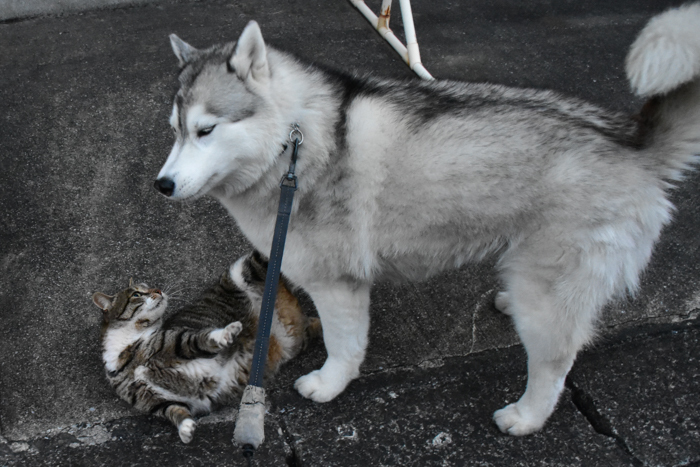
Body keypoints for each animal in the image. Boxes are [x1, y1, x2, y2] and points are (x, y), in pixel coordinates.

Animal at [91, 250, 322, 444]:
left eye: (149, 287)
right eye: (137, 294)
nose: (159, 289)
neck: (129, 346)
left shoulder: (177, 340)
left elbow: (201, 339)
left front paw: (228, 333)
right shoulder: (153, 399)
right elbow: (174, 410)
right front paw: (186, 429)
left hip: (242, 269)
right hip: (295, 339)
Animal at [156, 2, 700, 436]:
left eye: (206, 130)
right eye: (176, 130)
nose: (162, 185)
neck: (295, 143)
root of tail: (632, 142)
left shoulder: (337, 283)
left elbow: (343, 344)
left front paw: (330, 385)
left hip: (549, 292)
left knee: (556, 362)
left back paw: (526, 417)